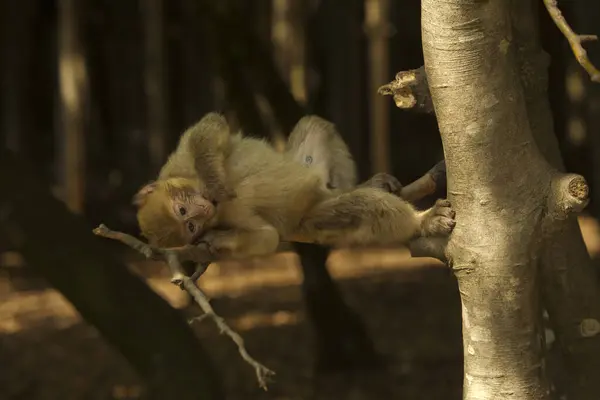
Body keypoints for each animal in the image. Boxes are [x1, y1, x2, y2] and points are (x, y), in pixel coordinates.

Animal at [135, 111, 454, 260]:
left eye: (183, 209)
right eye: (190, 226)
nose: (202, 210)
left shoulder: (176, 165)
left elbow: (209, 128)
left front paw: (214, 179)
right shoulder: (227, 216)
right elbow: (267, 237)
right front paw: (217, 241)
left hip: (309, 167)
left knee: (315, 125)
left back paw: (363, 185)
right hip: (310, 218)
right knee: (355, 208)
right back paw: (422, 221)